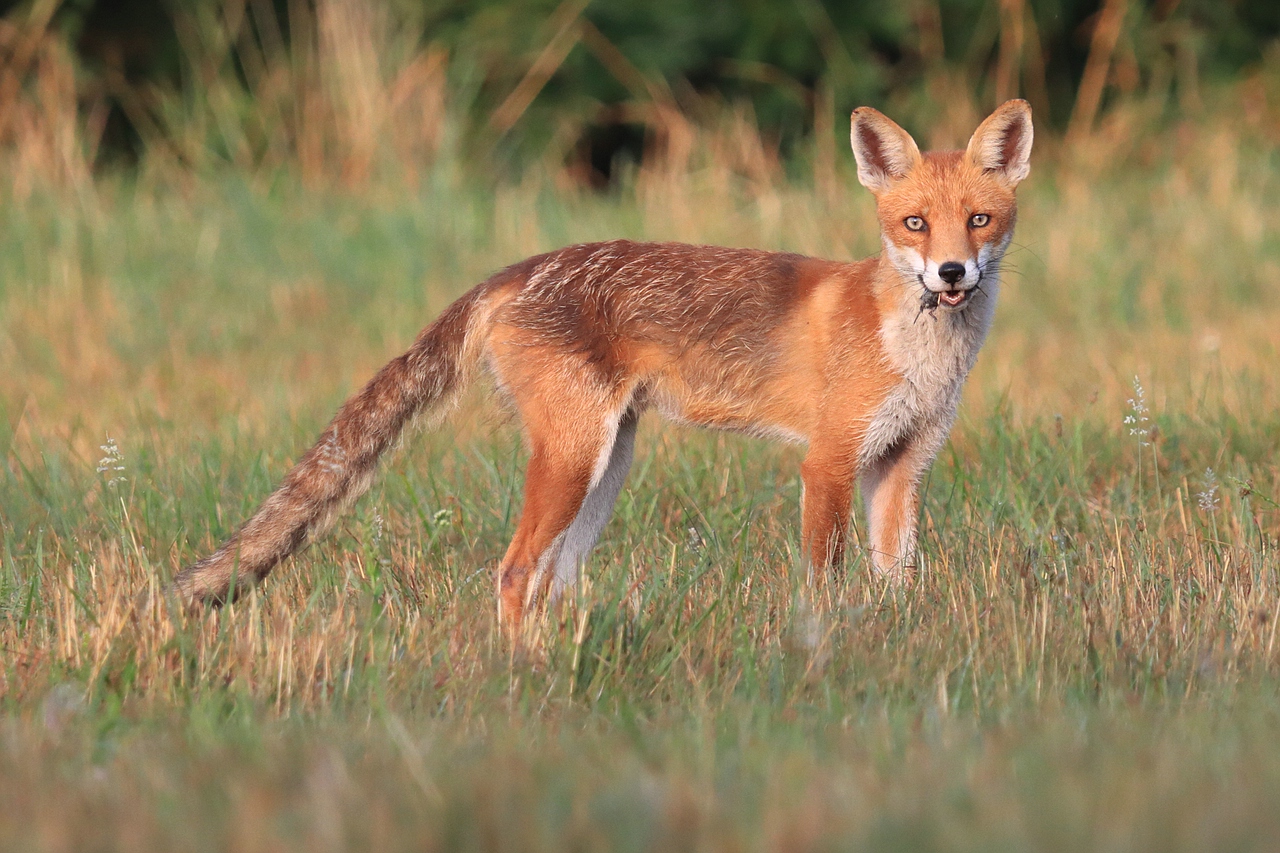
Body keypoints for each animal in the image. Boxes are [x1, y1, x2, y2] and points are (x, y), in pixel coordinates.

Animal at [167, 101, 1029, 630]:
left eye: (979, 220)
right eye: (914, 224)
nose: (952, 273)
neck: (917, 355)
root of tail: (514, 271)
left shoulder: (901, 465)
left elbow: (895, 581)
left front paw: (891, 646)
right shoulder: (829, 461)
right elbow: (824, 579)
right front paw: (823, 650)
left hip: (608, 463)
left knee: (553, 578)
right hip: (575, 457)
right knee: (514, 572)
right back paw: (522, 677)